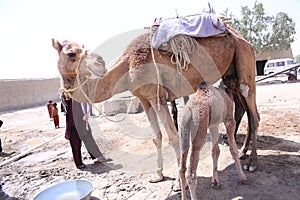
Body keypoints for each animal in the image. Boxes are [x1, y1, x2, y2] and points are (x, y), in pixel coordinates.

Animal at [52, 27, 258, 184]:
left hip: (245, 60)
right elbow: (156, 137)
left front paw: (178, 182)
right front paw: (158, 175)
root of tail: (241, 37)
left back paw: (252, 163)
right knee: (244, 109)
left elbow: (173, 136)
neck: (128, 64)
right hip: (230, 74)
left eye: (78, 51)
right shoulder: (144, 98)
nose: (99, 62)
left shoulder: (157, 96)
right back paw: (242, 152)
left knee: (254, 115)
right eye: (71, 53)